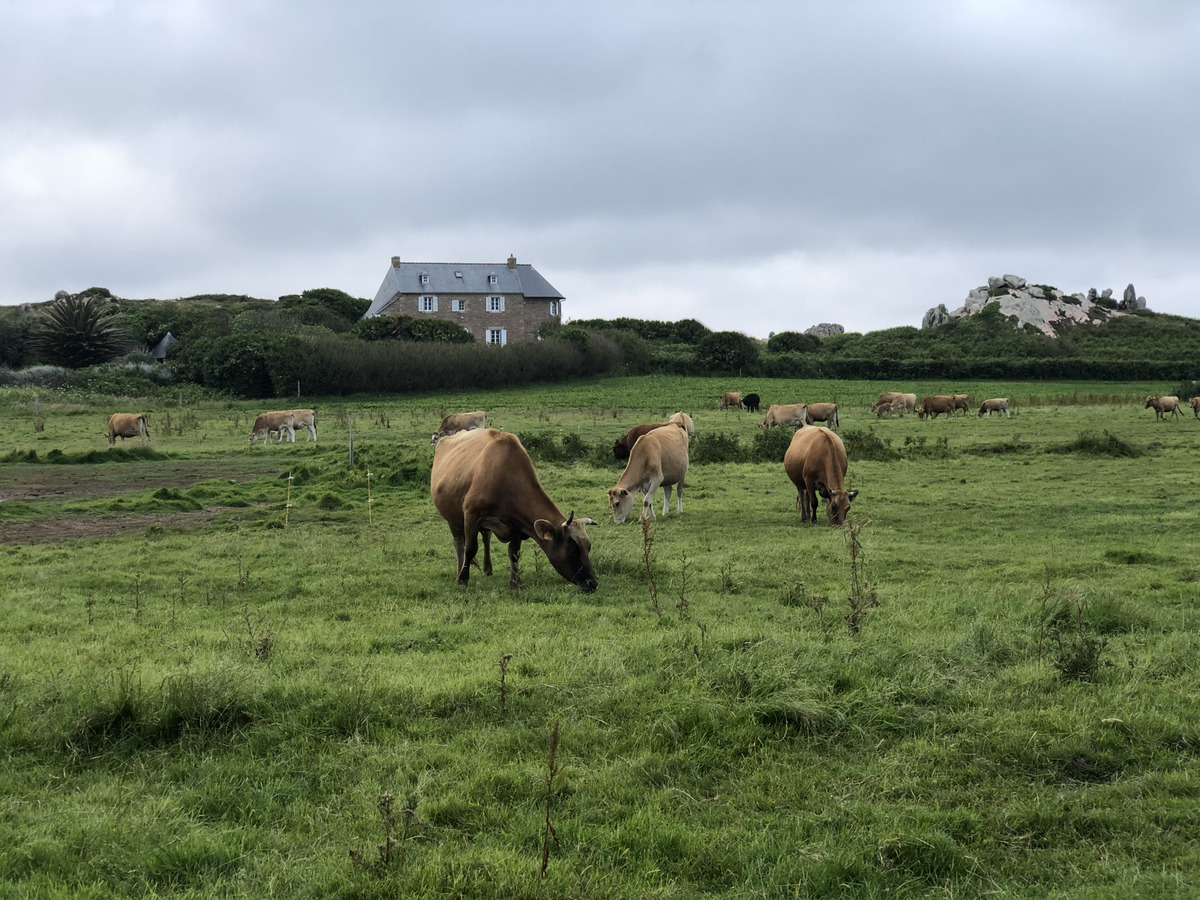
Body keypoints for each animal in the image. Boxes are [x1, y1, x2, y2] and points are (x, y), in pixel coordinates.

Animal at [432, 429, 600, 592]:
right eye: (572, 549)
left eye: (588, 547)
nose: (592, 583)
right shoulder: (471, 515)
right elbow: (470, 549)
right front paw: (463, 580)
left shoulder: (518, 525)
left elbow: (513, 553)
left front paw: (515, 583)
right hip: (453, 518)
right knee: (459, 543)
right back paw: (460, 571)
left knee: (486, 537)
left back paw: (488, 568)